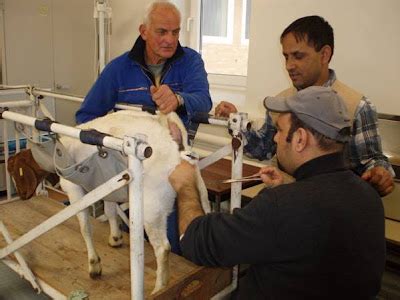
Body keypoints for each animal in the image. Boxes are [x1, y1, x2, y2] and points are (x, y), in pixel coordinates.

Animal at [59, 110, 211, 292]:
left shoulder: (73, 188)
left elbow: (85, 227)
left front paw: (94, 265)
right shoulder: (109, 186)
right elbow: (110, 212)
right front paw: (115, 238)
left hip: (152, 207)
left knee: (163, 248)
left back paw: (159, 288)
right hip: (195, 192)